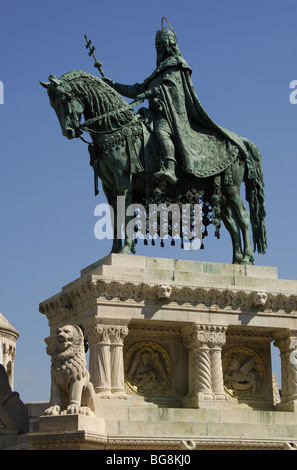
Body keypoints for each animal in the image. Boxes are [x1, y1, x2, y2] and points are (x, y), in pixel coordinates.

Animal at [40, 70, 266, 264]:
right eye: (52, 104)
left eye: (64, 98)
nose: (69, 132)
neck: (115, 128)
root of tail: (240, 140)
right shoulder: (108, 187)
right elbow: (114, 218)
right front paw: (114, 251)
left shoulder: (124, 180)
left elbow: (126, 213)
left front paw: (125, 249)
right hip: (219, 191)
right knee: (232, 223)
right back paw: (237, 261)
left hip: (231, 186)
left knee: (243, 217)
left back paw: (246, 258)